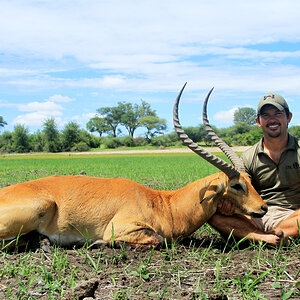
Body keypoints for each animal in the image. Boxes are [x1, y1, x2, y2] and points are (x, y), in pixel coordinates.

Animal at [0, 84, 268, 246]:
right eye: (236, 185)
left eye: (250, 180)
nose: (263, 208)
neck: (165, 204)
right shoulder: (121, 228)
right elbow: (157, 238)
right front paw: (98, 243)